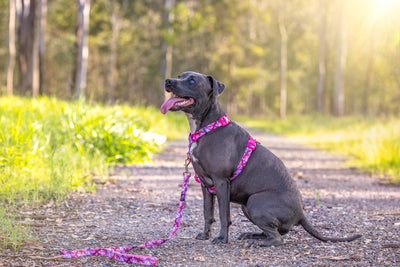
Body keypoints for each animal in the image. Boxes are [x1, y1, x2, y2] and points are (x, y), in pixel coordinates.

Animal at [160, 71, 362, 247]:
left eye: (192, 81)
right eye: (179, 76)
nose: (168, 81)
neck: (208, 127)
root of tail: (301, 213)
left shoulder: (221, 182)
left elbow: (224, 215)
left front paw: (222, 238)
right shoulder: (205, 185)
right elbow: (207, 213)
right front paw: (205, 235)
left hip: (255, 202)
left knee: (278, 238)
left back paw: (258, 243)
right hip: (246, 206)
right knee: (274, 232)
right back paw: (253, 235)